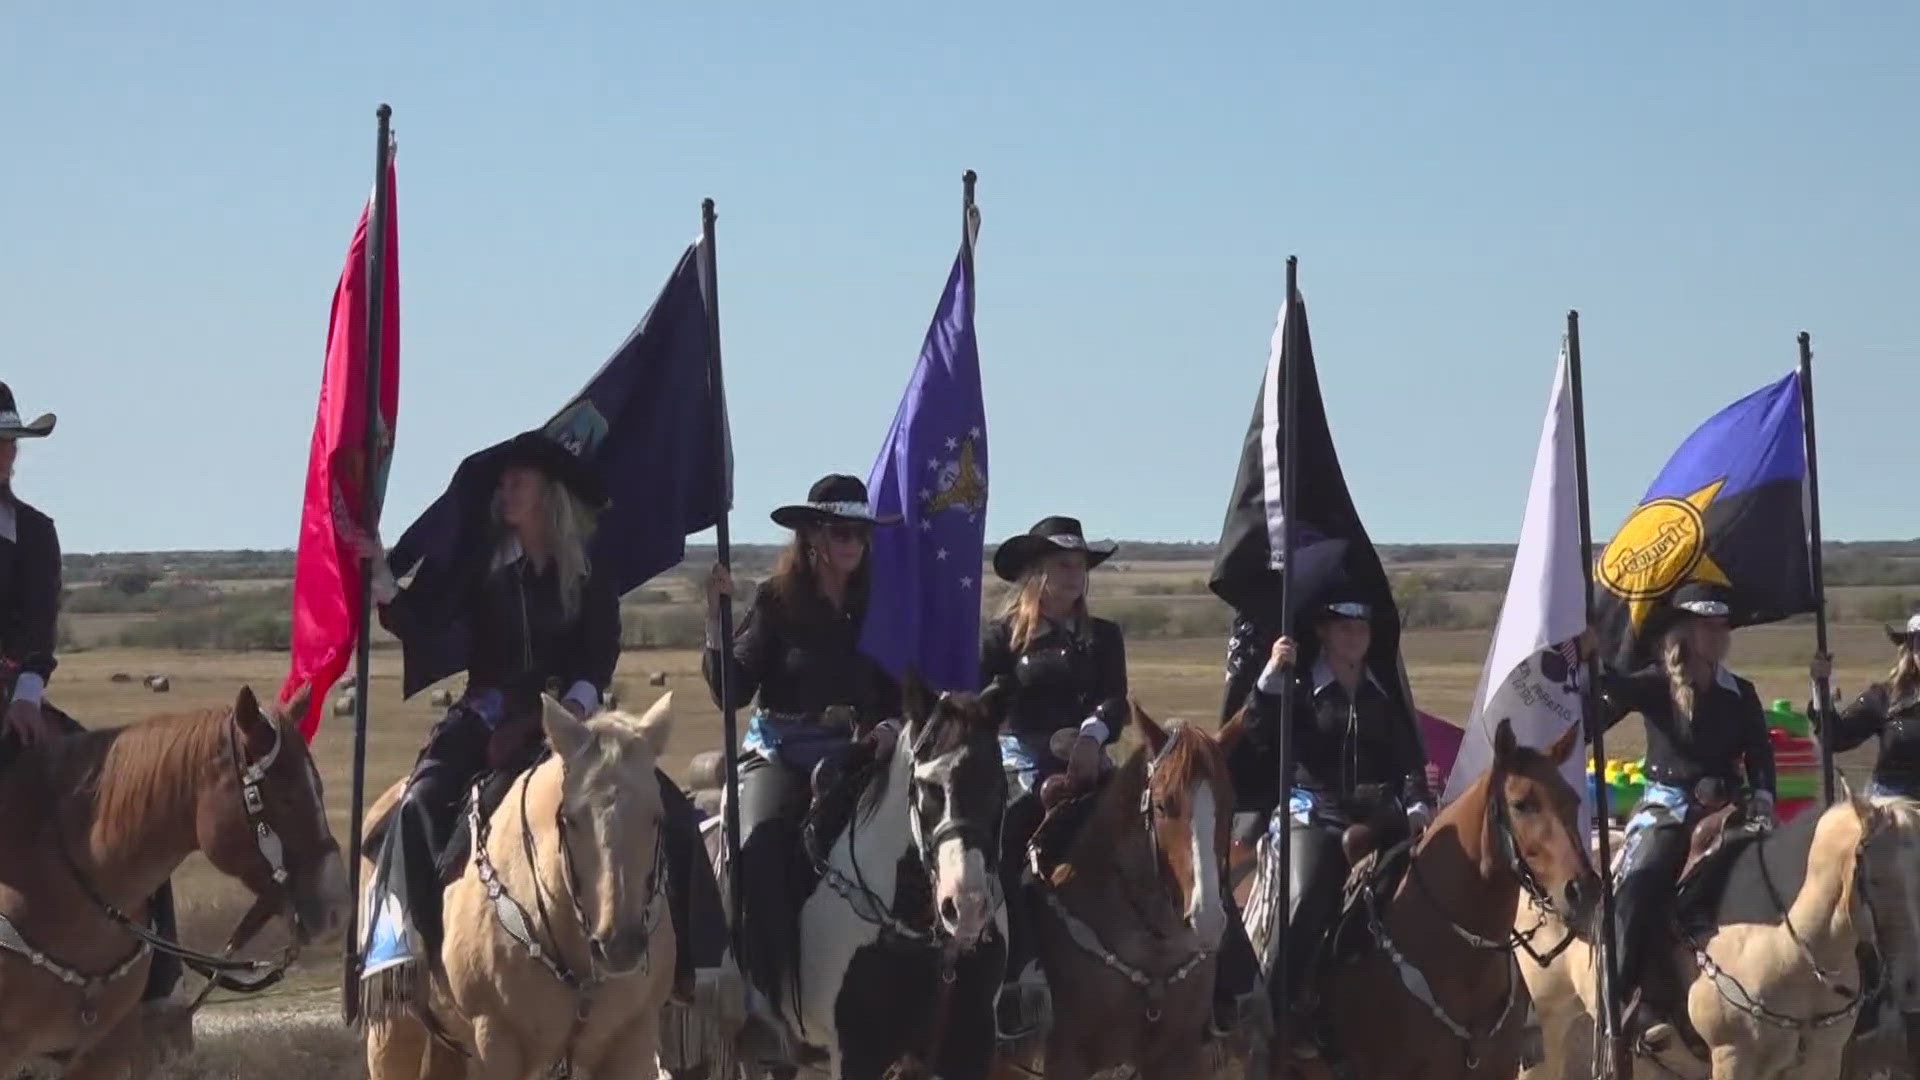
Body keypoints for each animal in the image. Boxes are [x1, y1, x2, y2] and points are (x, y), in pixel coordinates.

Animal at [362, 687, 687, 1076]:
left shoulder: (633, 1041)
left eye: (656, 817)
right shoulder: (496, 1041)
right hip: (395, 1028)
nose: (619, 947)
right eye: (570, 819)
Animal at [990, 699, 1244, 1076]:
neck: (1152, 950)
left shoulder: (1180, 1056)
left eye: (1230, 804)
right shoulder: (1065, 1057)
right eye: (1162, 805)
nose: (1206, 919)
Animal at [1520, 780, 1920, 1076]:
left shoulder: (1823, 1059)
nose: (1911, 987)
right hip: (1549, 1020)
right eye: (1876, 879)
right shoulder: (1731, 1056)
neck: (1787, 943)